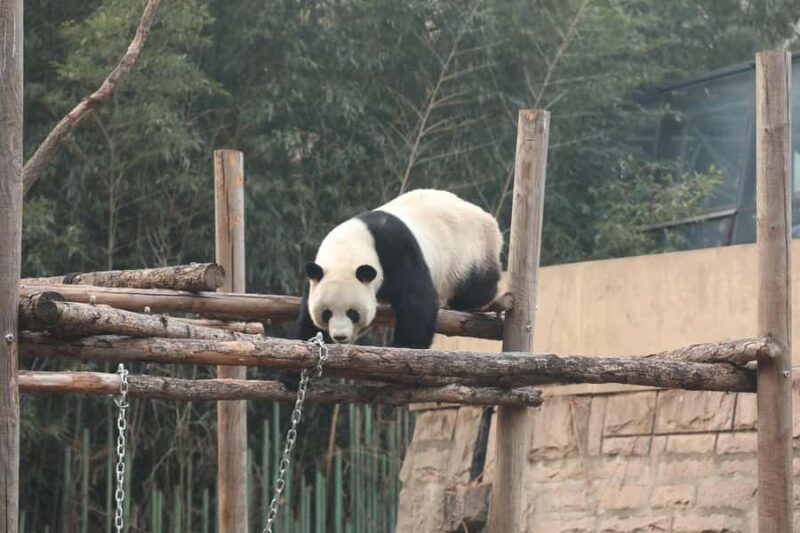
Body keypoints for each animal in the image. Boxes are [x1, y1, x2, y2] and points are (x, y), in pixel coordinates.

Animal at [294, 189, 503, 349]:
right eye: (326, 313)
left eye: (353, 313)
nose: (340, 337)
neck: (347, 250)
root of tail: (488, 218)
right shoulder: (316, 275)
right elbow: (308, 320)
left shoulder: (395, 251)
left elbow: (417, 300)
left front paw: (406, 346)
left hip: (469, 252)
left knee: (476, 286)